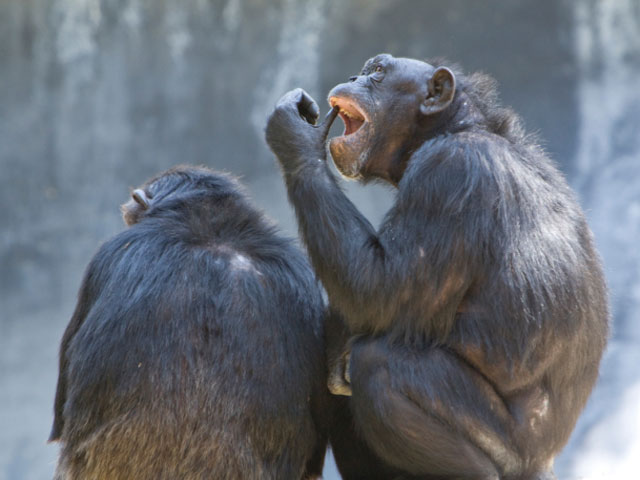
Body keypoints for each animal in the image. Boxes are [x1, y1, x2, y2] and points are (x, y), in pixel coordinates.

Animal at [266, 54, 608, 478]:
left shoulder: (448, 174)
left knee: (379, 366)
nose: (354, 76)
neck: (455, 128)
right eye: (366, 70)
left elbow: (379, 292)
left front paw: (297, 135)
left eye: (377, 73)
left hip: (506, 448)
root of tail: (546, 460)